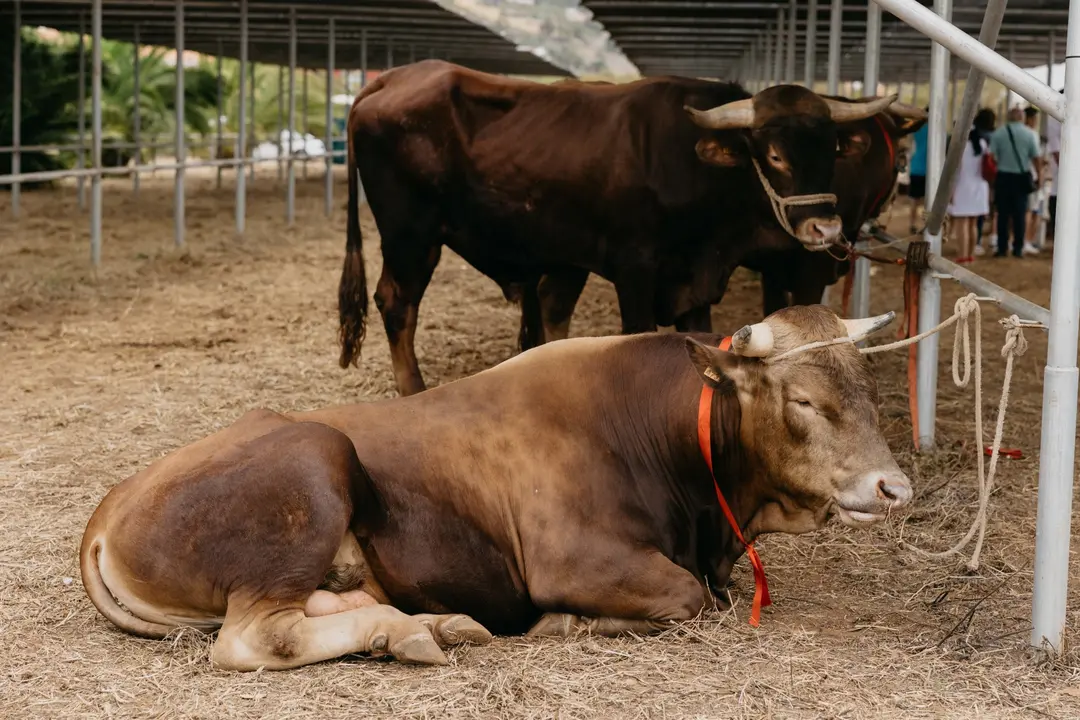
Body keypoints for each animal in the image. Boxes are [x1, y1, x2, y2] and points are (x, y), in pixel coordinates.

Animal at [81, 304, 912, 671]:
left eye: (869, 387)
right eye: (802, 399)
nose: (894, 487)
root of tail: (111, 505)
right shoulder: (575, 560)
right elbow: (688, 598)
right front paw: (564, 625)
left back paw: (420, 623)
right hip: (314, 465)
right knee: (255, 637)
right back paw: (416, 632)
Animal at [336, 60, 903, 396]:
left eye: (831, 151)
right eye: (775, 154)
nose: (825, 228)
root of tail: (391, 78)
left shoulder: (695, 280)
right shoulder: (635, 270)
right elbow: (637, 336)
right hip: (411, 236)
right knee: (397, 303)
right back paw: (413, 387)